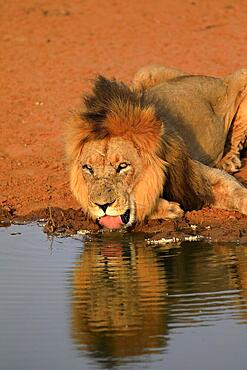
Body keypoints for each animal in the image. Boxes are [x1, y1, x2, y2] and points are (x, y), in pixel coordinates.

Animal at [65, 65, 247, 230]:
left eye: (122, 166)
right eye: (88, 168)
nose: (102, 205)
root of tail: (215, 78)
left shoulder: (195, 174)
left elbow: (235, 190)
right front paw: (169, 208)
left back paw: (229, 161)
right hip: (143, 72)